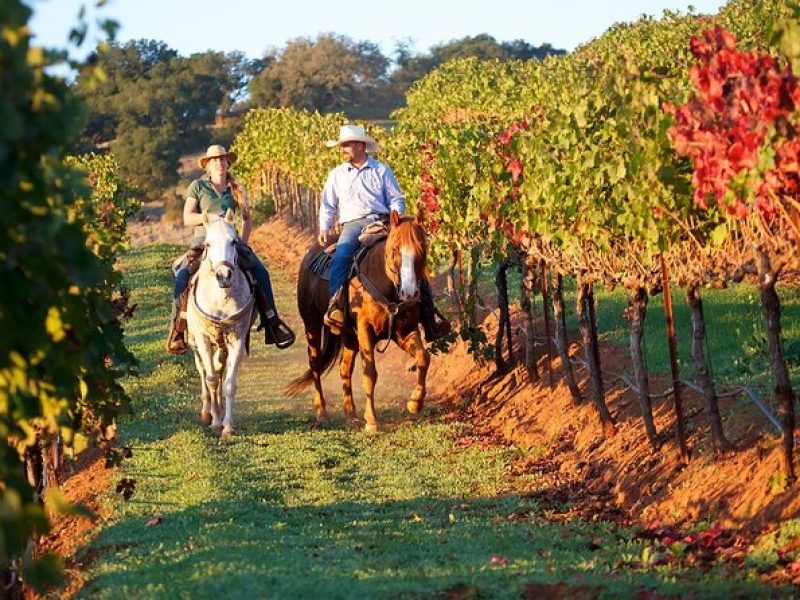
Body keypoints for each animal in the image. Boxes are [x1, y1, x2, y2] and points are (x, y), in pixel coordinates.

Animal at [186, 211, 255, 436]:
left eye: (233, 241)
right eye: (208, 244)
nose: (224, 275)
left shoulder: (237, 338)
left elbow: (228, 383)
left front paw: (227, 426)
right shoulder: (203, 340)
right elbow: (211, 379)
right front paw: (215, 421)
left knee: (219, 368)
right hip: (195, 343)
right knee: (203, 371)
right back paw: (207, 412)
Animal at [288, 211, 432, 432]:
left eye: (422, 247)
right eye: (395, 249)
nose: (409, 293)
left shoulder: (405, 330)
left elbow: (423, 358)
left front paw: (415, 403)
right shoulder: (365, 329)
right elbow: (369, 373)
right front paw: (371, 421)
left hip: (348, 336)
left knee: (344, 368)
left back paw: (351, 415)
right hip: (312, 324)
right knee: (315, 364)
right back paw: (321, 412)